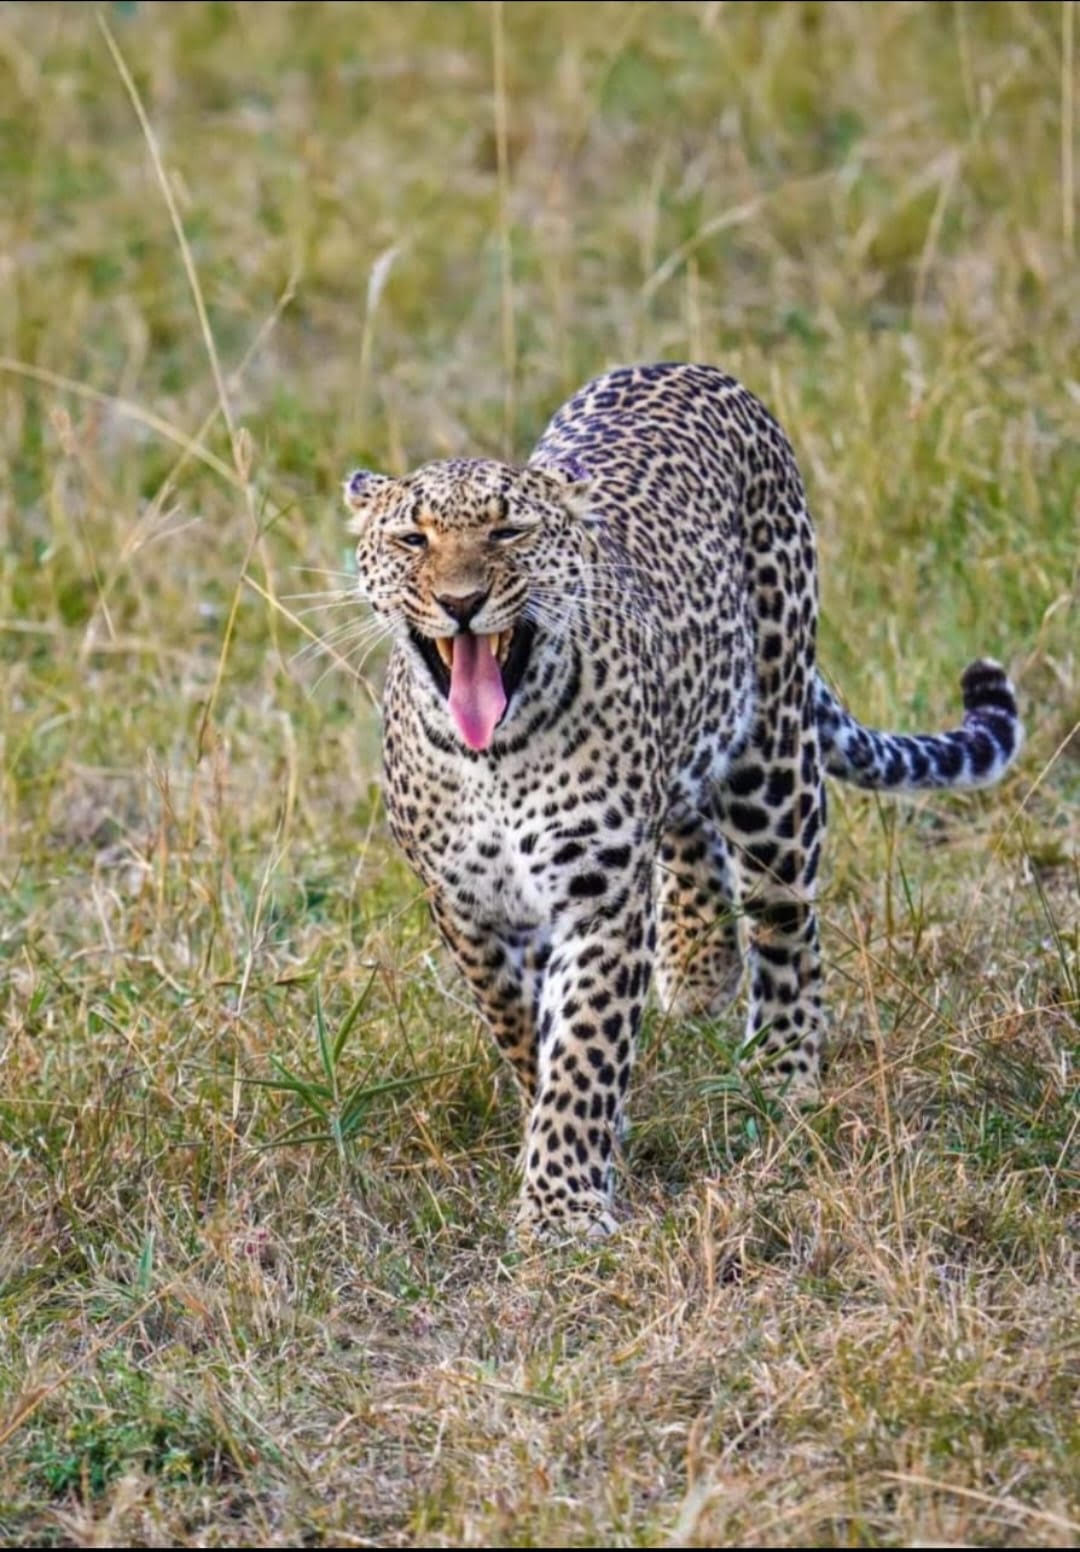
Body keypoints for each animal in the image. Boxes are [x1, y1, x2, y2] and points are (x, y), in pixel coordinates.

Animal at [344, 362, 1022, 1239]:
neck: (493, 758)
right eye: (412, 539)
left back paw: (780, 1068)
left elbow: (584, 1047)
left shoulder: (599, 895)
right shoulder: (466, 908)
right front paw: (570, 1135)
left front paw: (562, 1206)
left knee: (784, 918)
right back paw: (698, 971)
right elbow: (521, 1028)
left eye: (509, 532)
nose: (462, 602)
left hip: (773, 757)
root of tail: (689, 369)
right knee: (688, 826)